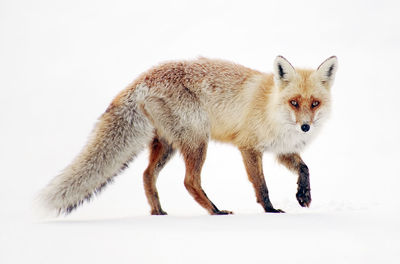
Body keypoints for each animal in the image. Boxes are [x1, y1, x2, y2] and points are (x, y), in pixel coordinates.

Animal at [39, 55, 338, 214]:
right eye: (294, 102)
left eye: (314, 103)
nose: (305, 127)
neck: (271, 108)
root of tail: (144, 77)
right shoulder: (249, 147)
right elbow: (261, 185)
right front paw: (271, 210)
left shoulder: (282, 150)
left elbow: (305, 168)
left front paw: (303, 195)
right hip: (197, 141)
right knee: (189, 181)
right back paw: (215, 211)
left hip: (168, 145)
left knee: (147, 175)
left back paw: (158, 212)